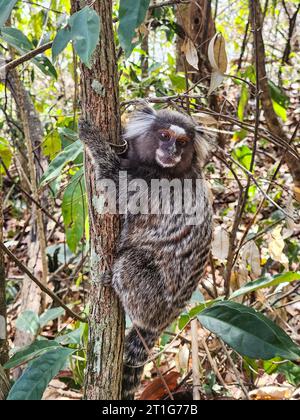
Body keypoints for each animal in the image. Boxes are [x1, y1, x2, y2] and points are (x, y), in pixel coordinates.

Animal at [78, 107, 212, 400]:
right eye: (164, 136)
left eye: (182, 142)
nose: (171, 150)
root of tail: (161, 321)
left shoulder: (151, 186)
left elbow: (114, 184)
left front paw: (92, 139)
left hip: (151, 298)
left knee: (131, 262)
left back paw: (113, 282)